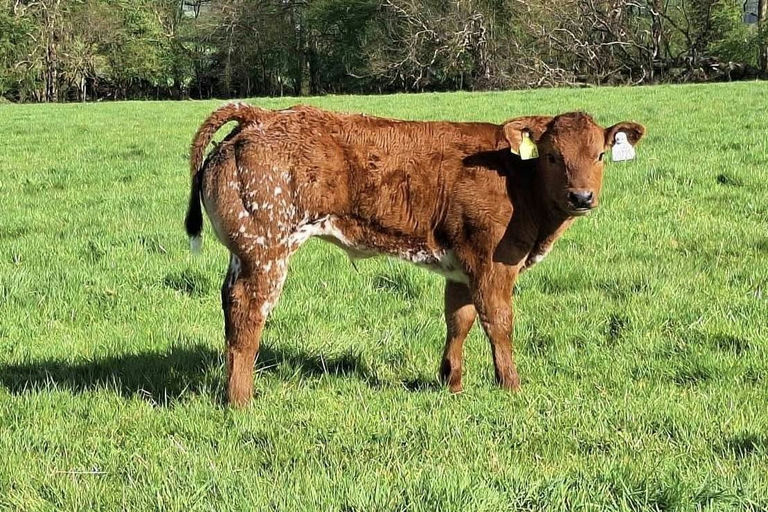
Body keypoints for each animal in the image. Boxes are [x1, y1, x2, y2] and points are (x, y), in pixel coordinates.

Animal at [184, 103, 645, 407]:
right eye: (551, 155)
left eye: (599, 154)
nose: (581, 197)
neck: (519, 183)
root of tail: (260, 115)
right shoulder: (491, 262)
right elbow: (498, 322)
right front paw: (511, 386)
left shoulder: (460, 267)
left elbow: (459, 320)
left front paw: (452, 383)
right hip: (266, 248)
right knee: (249, 312)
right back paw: (241, 400)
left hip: (243, 252)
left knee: (230, 305)